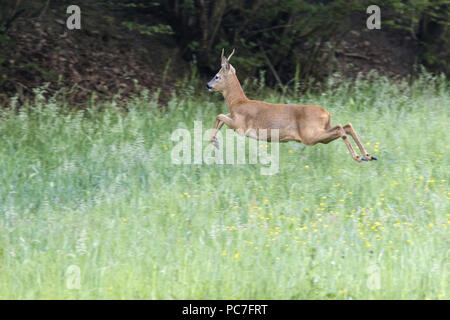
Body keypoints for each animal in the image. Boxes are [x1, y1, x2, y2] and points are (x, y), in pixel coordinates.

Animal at [207, 49, 376, 162]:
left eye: (217, 76)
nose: (207, 85)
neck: (237, 102)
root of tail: (327, 113)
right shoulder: (234, 119)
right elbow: (221, 116)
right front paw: (214, 142)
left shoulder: (240, 125)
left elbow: (219, 115)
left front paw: (214, 141)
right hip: (320, 132)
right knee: (347, 125)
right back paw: (368, 155)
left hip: (311, 135)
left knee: (341, 127)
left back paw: (359, 157)